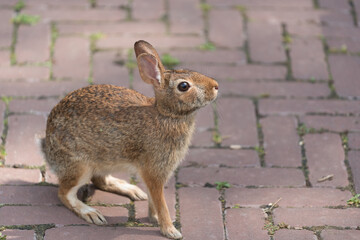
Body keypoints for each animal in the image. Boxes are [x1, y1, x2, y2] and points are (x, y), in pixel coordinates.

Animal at [41, 39, 218, 238]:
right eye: (184, 86)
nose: (216, 86)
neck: (166, 114)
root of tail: (48, 151)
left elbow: (153, 200)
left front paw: (154, 219)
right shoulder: (154, 172)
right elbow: (160, 202)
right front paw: (170, 230)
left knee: (100, 181)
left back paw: (133, 190)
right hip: (80, 166)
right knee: (64, 193)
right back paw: (91, 213)